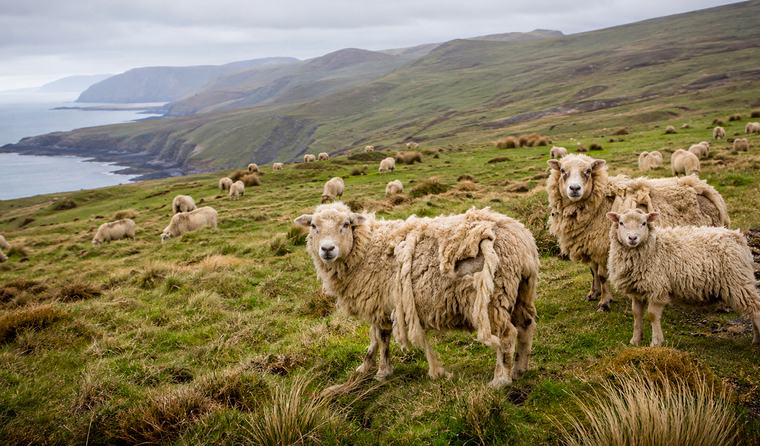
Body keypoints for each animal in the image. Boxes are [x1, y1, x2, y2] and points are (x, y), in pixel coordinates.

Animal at [294, 202, 539, 388]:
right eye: (314, 226)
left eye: (345, 224)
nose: (327, 249)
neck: (364, 250)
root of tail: (521, 239)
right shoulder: (378, 306)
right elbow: (373, 339)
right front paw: (364, 366)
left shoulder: (380, 304)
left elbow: (382, 339)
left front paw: (382, 372)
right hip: (521, 290)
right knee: (526, 326)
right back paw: (520, 369)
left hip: (494, 296)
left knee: (507, 334)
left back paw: (501, 379)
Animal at [546, 154, 729, 311]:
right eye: (562, 170)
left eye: (588, 171)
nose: (574, 188)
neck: (598, 204)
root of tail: (709, 192)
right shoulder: (591, 244)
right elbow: (593, 272)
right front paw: (593, 293)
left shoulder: (604, 247)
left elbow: (602, 275)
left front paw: (604, 302)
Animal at [606, 209, 760, 346]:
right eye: (621, 223)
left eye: (644, 223)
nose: (632, 238)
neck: (654, 246)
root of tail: (737, 237)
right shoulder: (637, 291)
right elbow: (636, 314)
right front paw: (635, 341)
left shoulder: (657, 288)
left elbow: (652, 315)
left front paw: (656, 342)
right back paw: (755, 340)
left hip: (738, 281)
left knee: (756, 308)